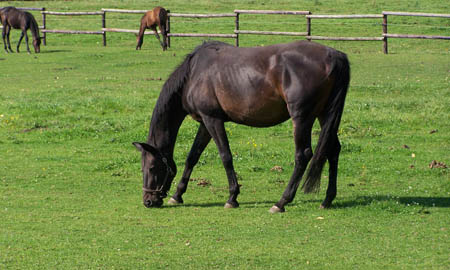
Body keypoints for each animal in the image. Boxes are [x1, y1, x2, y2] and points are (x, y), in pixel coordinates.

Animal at [132, 40, 350, 213]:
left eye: (152, 167)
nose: (148, 201)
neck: (194, 74)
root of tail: (334, 55)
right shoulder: (205, 122)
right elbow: (192, 157)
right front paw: (177, 195)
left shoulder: (213, 120)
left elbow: (226, 156)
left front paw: (232, 197)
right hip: (324, 115)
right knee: (333, 150)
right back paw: (327, 199)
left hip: (302, 118)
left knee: (303, 155)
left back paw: (281, 202)